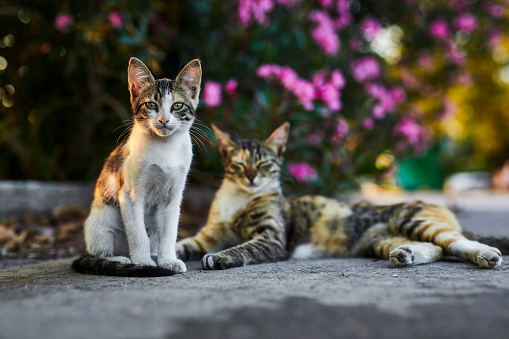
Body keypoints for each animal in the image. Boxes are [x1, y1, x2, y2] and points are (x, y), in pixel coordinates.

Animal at [73, 57, 200, 278]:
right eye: (151, 105)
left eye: (177, 106)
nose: (164, 120)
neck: (164, 148)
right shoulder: (129, 193)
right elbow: (138, 232)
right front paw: (142, 262)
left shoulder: (173, 196)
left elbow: (169, 232)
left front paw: (168, 260)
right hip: (100, 220)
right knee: (99, 252)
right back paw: (120, 260)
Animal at [177, 123, 506, 270]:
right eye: (238, 164)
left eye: (263, 164)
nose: (250, 177)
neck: (239, 199)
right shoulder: (207, 235)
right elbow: (182, 244)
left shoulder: (271, 238)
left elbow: (243, 248)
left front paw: (220, 257)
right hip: (379, 240)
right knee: (435, 248)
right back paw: (406, 254)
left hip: (415, 219)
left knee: (456, 242)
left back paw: (486, 255)